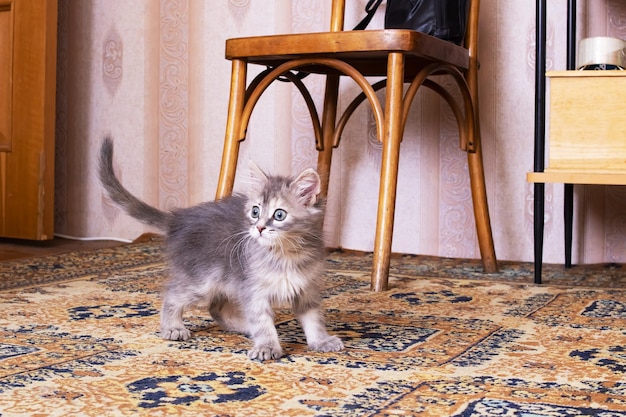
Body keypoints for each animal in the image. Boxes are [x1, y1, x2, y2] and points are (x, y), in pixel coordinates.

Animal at [98, 138, 342, 360]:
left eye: (279, 214)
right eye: (255, 211)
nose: (259, 228)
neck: (285, 254)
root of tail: (179, 219)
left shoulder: (306, 288)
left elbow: (314, 319)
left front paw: (321, 341)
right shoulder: (253, 290)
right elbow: (262, 321)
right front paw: (267, 346)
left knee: (216, 307)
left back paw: (244, 326)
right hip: (202, 280)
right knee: (172, 295)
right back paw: (173, 327)